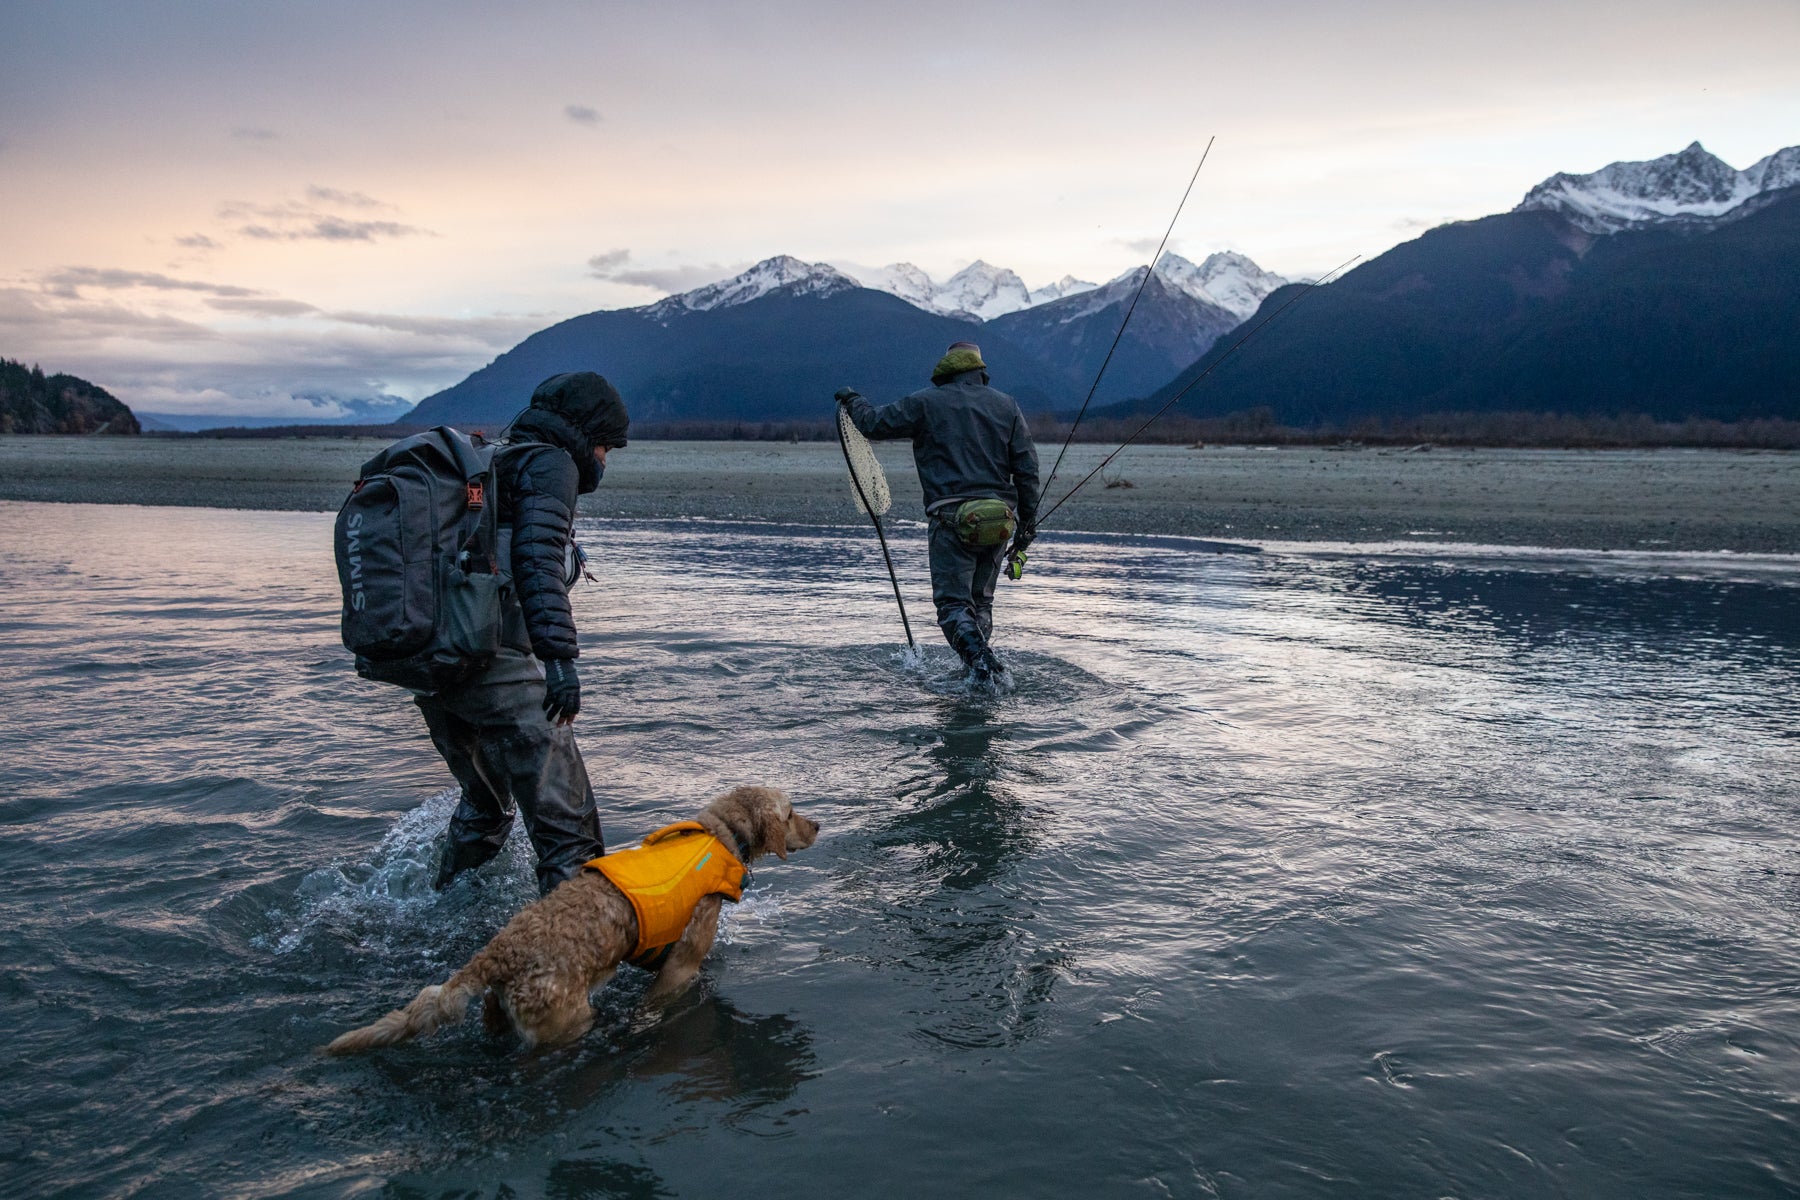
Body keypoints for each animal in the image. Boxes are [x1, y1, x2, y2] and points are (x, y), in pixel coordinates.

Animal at [327, 788, 820, 1050]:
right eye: (791, 812)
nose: (817, 826)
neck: (721, 834)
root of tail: (495, 954)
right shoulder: (683, 962)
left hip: (498, 1016)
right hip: (565, 1020)